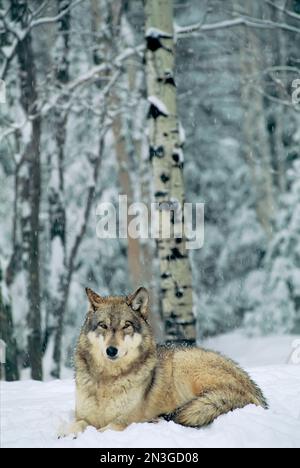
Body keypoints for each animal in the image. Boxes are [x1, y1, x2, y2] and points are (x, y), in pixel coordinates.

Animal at [62, 288, 268, 436]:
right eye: (103, 326)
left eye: (126, 326)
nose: (111, 350)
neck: (107, 379)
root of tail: (255, 392)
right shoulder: (83, 415)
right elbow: (78, 424)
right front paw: (65, 433)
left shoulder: (125, 420)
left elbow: (103, 430)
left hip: (184, 363)